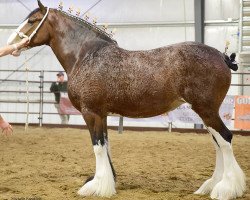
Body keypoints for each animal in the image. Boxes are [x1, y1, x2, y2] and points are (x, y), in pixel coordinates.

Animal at [7, 1, 246, 198]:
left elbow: (98, 146)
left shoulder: (90, 113)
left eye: (32, 20)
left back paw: (225, 188)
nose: (11, 44)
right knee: (218, 143)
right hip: (205, 112)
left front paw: (97, 187)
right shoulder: (101, 115)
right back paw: (210, 185)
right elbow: (105, 145)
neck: (86, 56)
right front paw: (106, 182)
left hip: (206, 109)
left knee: (225, 138)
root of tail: (222, 57)